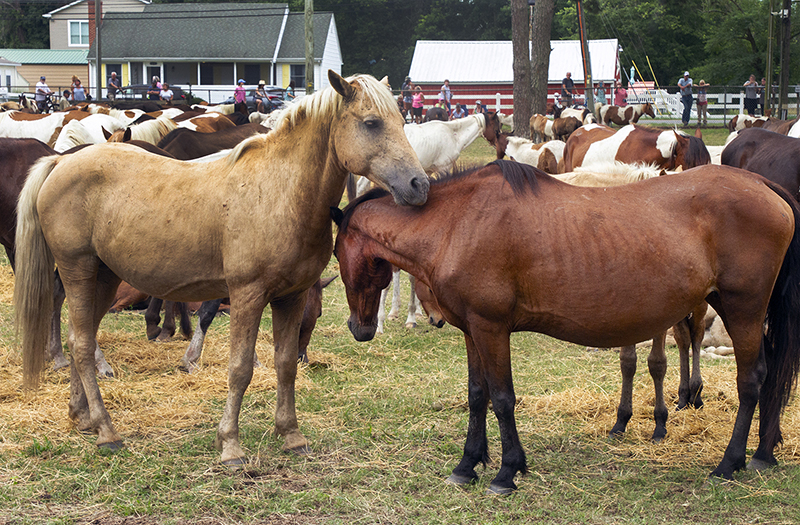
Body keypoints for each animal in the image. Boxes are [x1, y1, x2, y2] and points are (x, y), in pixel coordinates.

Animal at [15, 68, 428, 462]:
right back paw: (106, 431)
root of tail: (61, 162)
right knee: (83, 344)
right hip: (79, 271)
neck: (280, 192)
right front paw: (230, 445)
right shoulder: (247, 296)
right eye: (371, 123)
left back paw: (82, 417)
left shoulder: (291, 298)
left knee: (78, 338)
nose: (419, 185)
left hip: (104, 278)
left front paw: (291, 436)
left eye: (401, 121)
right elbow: (240, 368)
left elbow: (285, 365)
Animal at [334, 159, 800, 492]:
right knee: (768, 375)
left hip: (742, 310)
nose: (360, 328)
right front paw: (467, 465)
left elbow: (502, 399)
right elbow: (477, 396)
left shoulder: (491, 329)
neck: (459, 221)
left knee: (751, 380)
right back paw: (762, 452)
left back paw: (730, 462)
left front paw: (507, 471)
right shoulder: (472, 331)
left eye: (336, 256)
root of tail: (763, 185)